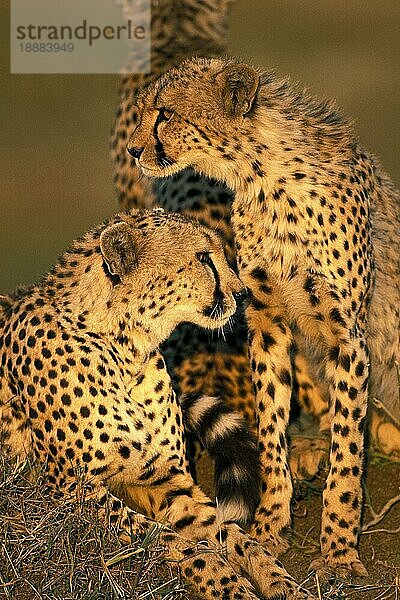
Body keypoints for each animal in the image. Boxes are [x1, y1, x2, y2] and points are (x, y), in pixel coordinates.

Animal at [0, 207, 312, 600]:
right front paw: (227, 582)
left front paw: (279, 581)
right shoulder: (70, 489)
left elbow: (233, 535)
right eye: (203, 257)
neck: (126, 350)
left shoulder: (168, 480)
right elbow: (172, 541)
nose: (242, 294)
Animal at [127, 58, 400, 580]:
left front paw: (338, 549)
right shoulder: (266, 322)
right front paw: (272, 523)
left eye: (165, 113)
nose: (134, 149)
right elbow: (272, 423)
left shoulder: (348, 335)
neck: (262, 176)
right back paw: (310, 450)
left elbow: (349, 451)